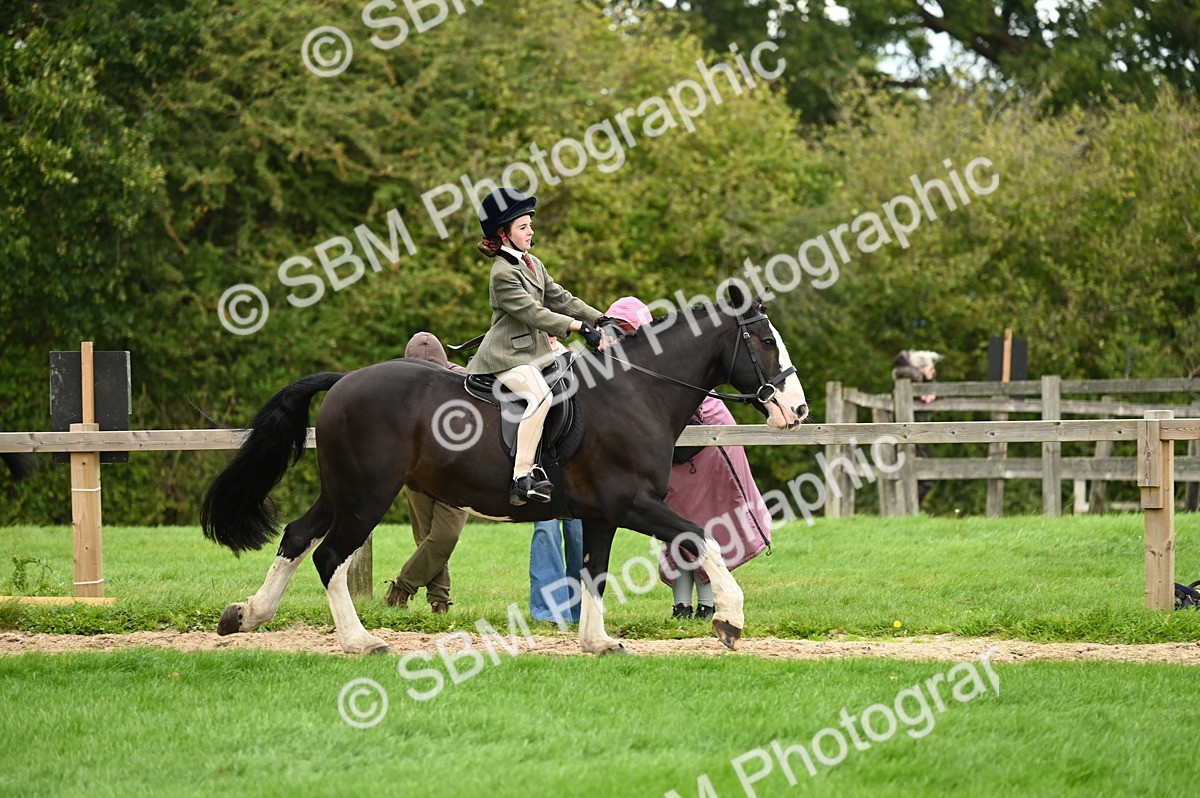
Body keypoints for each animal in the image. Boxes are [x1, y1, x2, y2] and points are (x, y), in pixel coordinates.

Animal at [200, 287, 809, 655]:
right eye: (762, 340)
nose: (797, 410)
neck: (635, 392)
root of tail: (347, 379)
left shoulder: (601, 514)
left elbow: (593, 571)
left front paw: (597, 643)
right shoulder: (630, 502)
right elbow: (698, 535)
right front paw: (729, 618)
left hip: (343, 492)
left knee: (297, 536)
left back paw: (247, 615)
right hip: (367, 495)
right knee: (328, 555)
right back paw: (360, 641)